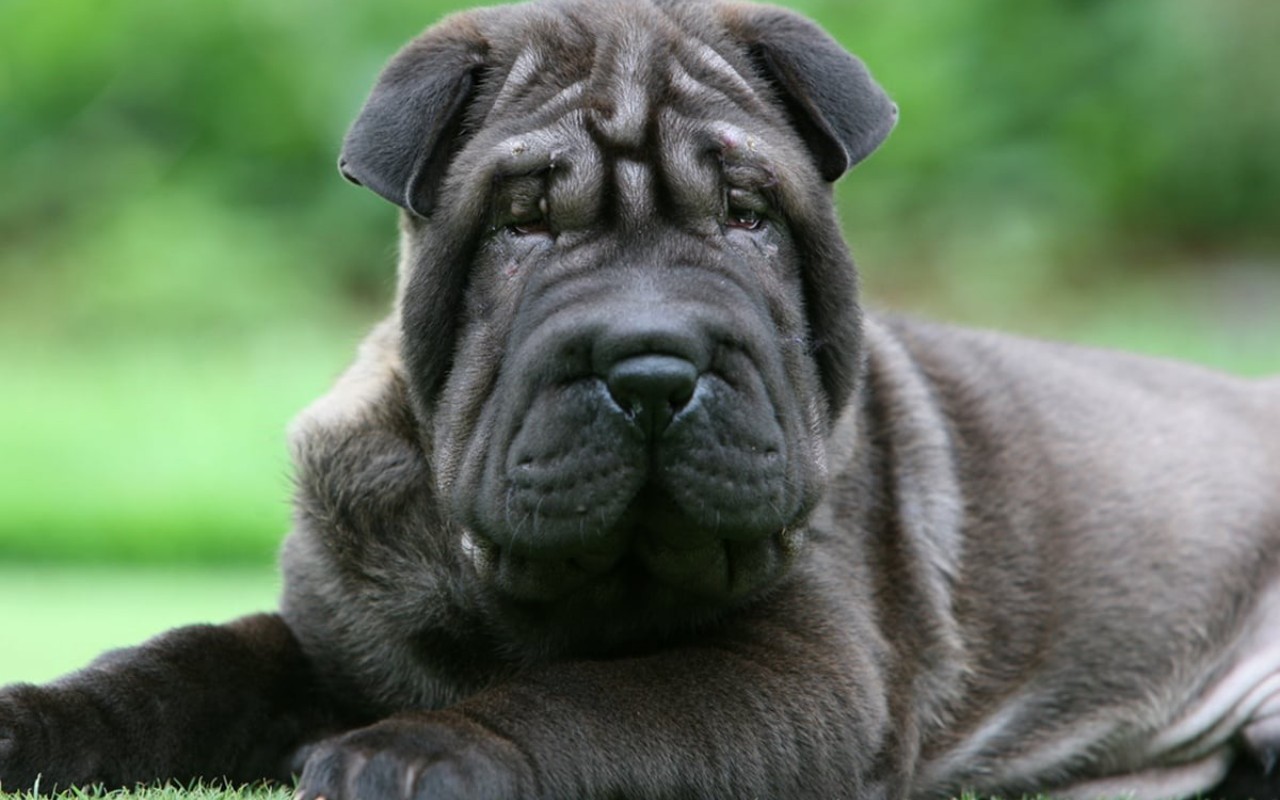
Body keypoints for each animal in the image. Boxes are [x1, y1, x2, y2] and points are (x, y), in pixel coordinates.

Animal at [2, 1, 1280, 798]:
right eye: (522, 225)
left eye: (747, 217)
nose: (653, 366)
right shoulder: (330, 626)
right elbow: (181, 659)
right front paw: (36, 718)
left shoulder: (799, 672)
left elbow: (602, 700)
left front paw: (415, 747)